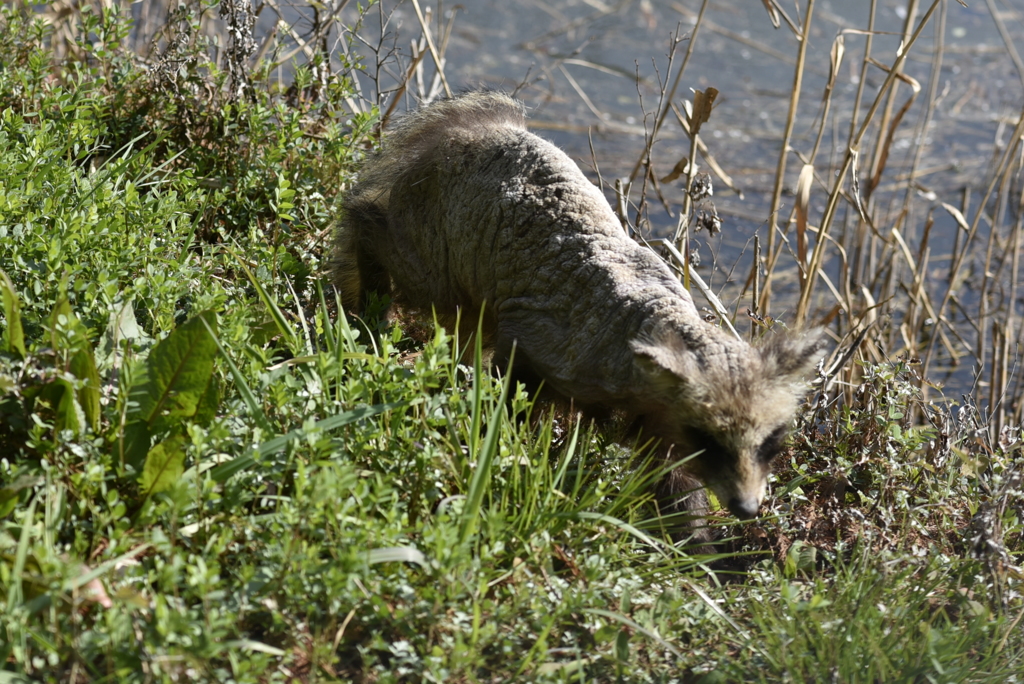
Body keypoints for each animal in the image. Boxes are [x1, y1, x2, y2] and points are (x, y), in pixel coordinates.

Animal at [335, 90, 823, 528]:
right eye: (709, 440)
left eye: (771, 443)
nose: (747, 509)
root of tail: (478, 125)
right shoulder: (545, 340)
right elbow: (513, 401)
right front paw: (507, 453)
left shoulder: (660, 419)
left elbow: (677, 491)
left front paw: (696, 544)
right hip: (439, 243)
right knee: (379, 232)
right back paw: (369, 296)